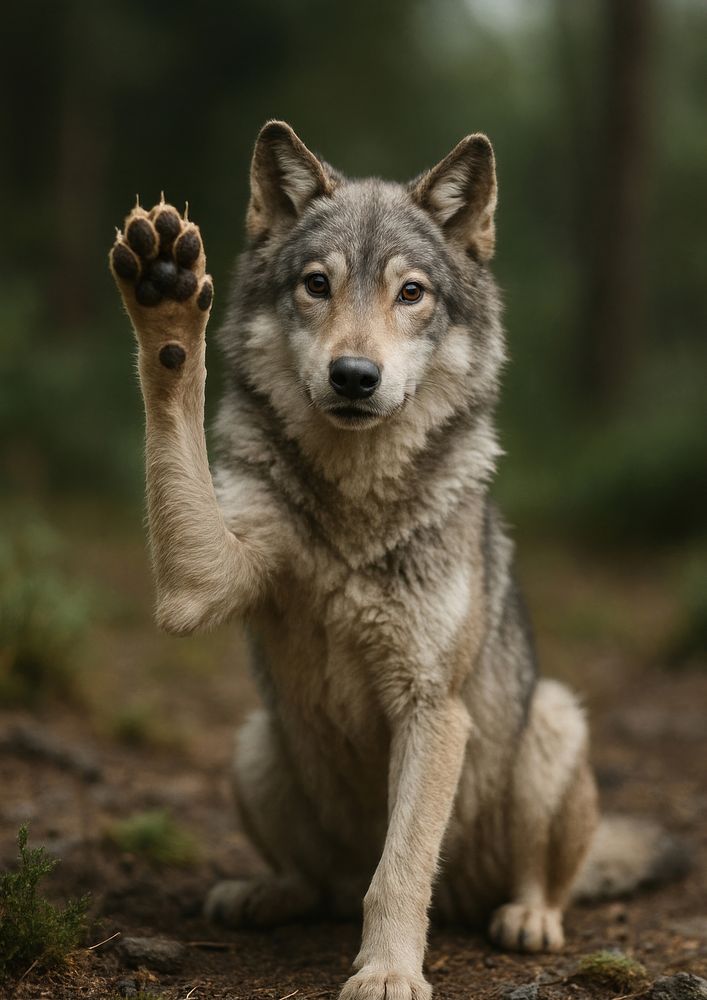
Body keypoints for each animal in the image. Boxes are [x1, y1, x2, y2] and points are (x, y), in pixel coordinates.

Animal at [109, 122, 684, 1000]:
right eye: (317, 285)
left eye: (410, 293)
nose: (354, 375)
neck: (356, 504)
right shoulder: (198, 583)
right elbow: (175, 389)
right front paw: (166, 293)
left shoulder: (430, 707)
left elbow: (402, 868)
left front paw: (386, 972)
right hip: (256, 742)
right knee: (318, 882)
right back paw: (263, 893)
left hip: (551, 722)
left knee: (539, 880)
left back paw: (527, 917)